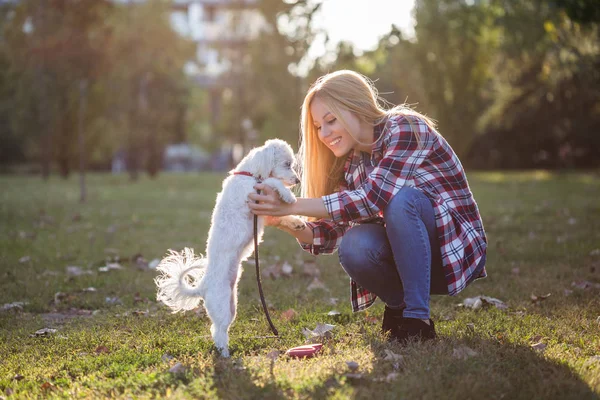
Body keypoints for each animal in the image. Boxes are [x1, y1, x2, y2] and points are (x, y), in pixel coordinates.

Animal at [155, 140, 304, 356]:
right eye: (287, 164)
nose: (297, 180)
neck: (249, 174)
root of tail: (203, 286)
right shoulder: (254, 190)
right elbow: (272, 182)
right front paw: (288, 195)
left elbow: (282, 214)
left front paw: (297, 222)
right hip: (222, 307)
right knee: (217, 331)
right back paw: (225, 354)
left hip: (231, 306)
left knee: (219, 328)